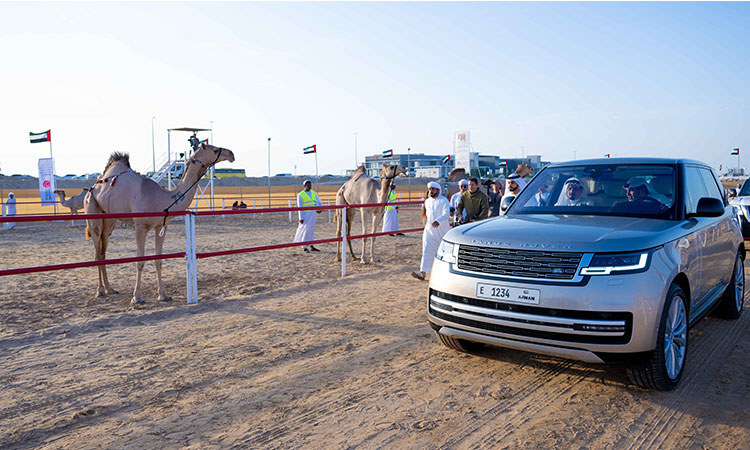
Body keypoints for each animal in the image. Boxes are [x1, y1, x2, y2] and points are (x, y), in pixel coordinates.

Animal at [82, 146, 236, 304]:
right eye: (214, 149)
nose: (231, 154)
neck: (162, 199)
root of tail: (93, 186)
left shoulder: (161, 226)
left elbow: (158, 260)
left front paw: (163, 295)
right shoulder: (140, 226)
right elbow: (140, 261)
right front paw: (137, 297)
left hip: (109, 221)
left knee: (103, 251)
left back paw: (110, 289)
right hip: (92, 211)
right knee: (97, 253)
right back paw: (100, 291)